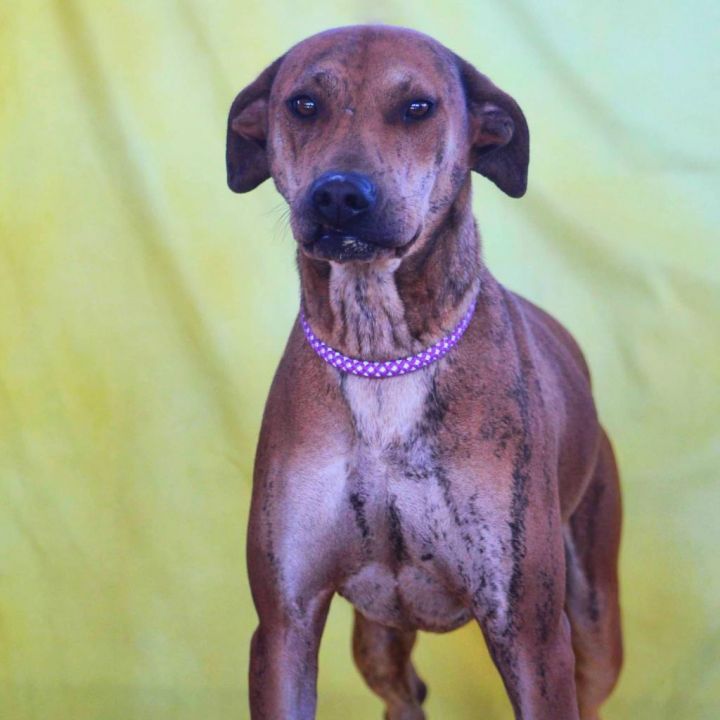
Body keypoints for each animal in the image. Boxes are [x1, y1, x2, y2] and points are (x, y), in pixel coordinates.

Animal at [228, 23, 620, 720]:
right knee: (402, 693)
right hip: (377, 638)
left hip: (596, 622)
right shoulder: (283, 626)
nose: (339, 194)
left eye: (418, 107)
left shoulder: (532, 636)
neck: (382, 355)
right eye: (303, 104)